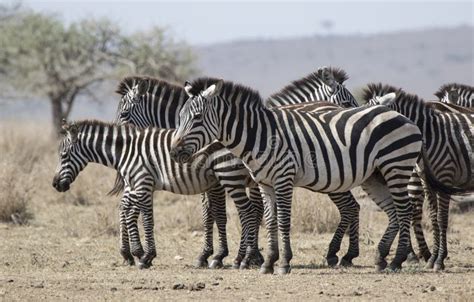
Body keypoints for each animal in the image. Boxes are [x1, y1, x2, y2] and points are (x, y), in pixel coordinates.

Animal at [52, 119, 262, 268]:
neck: (125, 151)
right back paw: (241, 257)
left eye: (63, 155)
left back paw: (242, 258)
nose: (55, 184)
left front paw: (145, 256)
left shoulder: (142, 184)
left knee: (248, 213)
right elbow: (129, 211)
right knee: (248, 213)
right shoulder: (137, 185)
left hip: (229, 176)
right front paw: (135, 253)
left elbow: (146, 219)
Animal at [113, 76, 264, 268]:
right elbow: (208, 214)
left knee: (254, 210)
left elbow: (219, 214)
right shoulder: (207, 181)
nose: (119, 146)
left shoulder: (216, 181)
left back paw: (249, 255)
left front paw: (219, 255)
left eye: (124, 114)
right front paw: (206, 254)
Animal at [169, 78, 422, 274]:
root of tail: (401, 116)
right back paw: (380, 258)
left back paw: (396, 260)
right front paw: (268, 262)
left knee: (404, 210)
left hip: (396, 168)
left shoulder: (283, 179)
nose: (174, 152)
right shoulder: (265, 183)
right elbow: (269, 220)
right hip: (375, 176)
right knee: (392, 211)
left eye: (197, 117)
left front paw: (282, 263)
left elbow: (282, 220)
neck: (259, 135)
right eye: (179, 116)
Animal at [362, 83, 472, 272]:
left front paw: (438, 260)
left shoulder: (445, 176)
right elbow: (434, 217)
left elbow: (442, 219)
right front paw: (434, 258)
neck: (430, 134)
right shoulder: (426, 180)